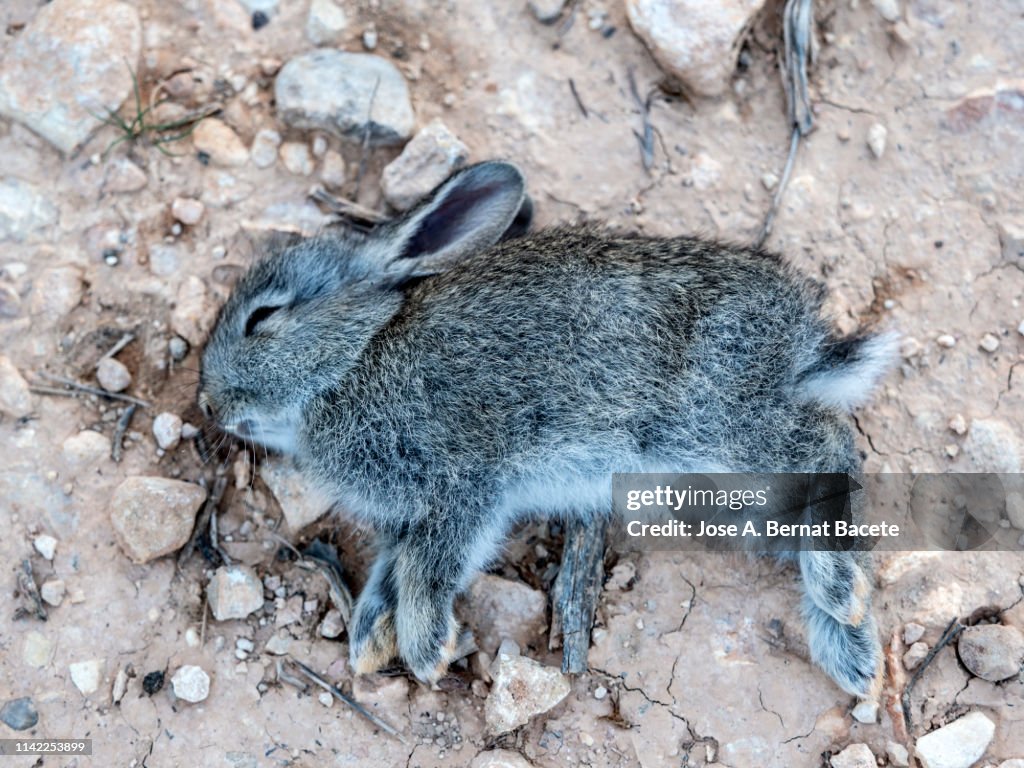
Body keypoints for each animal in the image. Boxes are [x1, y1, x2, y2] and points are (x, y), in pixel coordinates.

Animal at [198, 161, 896, 698]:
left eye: (263, 318)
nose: (207, 403)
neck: (354, 357)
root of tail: (804, 346)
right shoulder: (416, 517)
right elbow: (390, 572)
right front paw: (370, 638)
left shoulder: (461, 486)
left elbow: (425, 570)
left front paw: (427, 650)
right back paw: (850, 648)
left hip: (711, 429)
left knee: (829, 449)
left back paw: (842, 602)